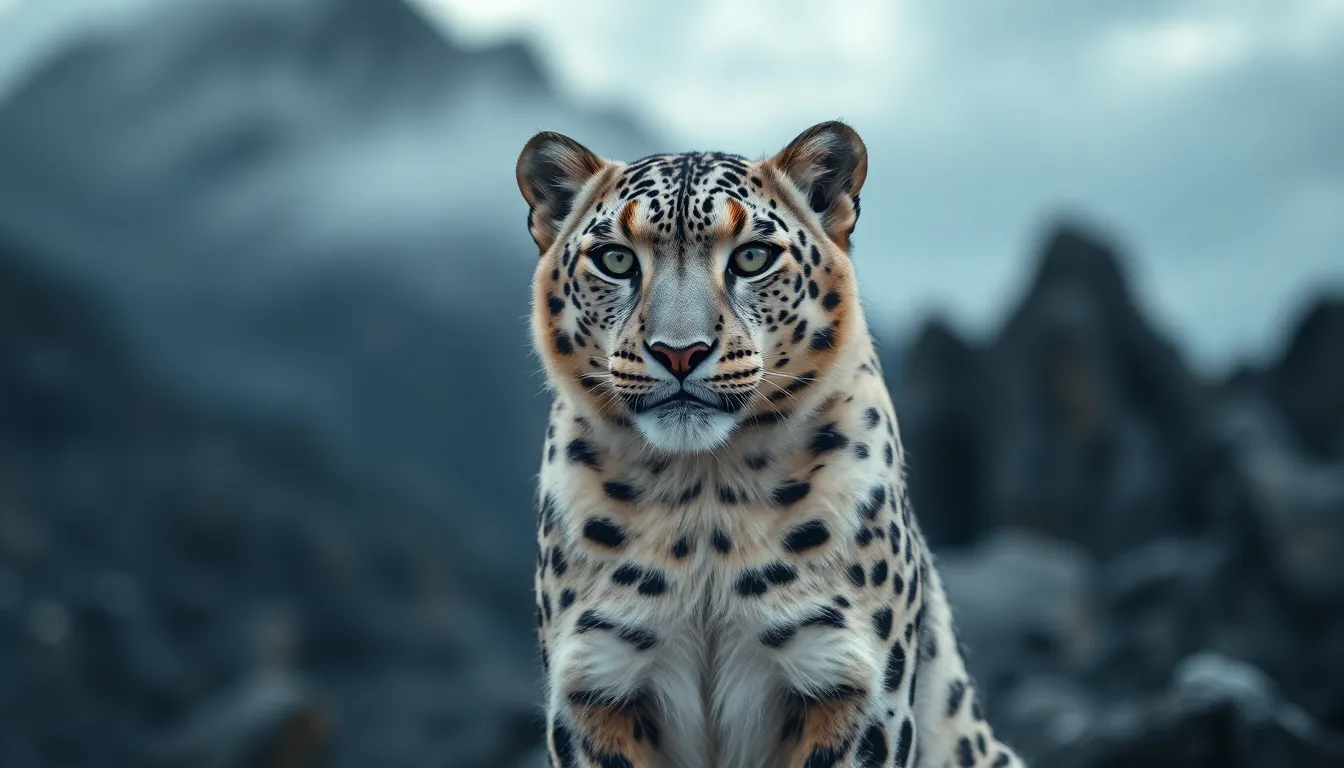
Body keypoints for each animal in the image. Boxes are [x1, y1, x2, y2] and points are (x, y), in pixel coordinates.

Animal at [516, 120, 1024, 768]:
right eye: (616, 258)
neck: (701, 497)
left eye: (752, 257)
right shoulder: (597, 685)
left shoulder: (848, 683)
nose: (679, 351)